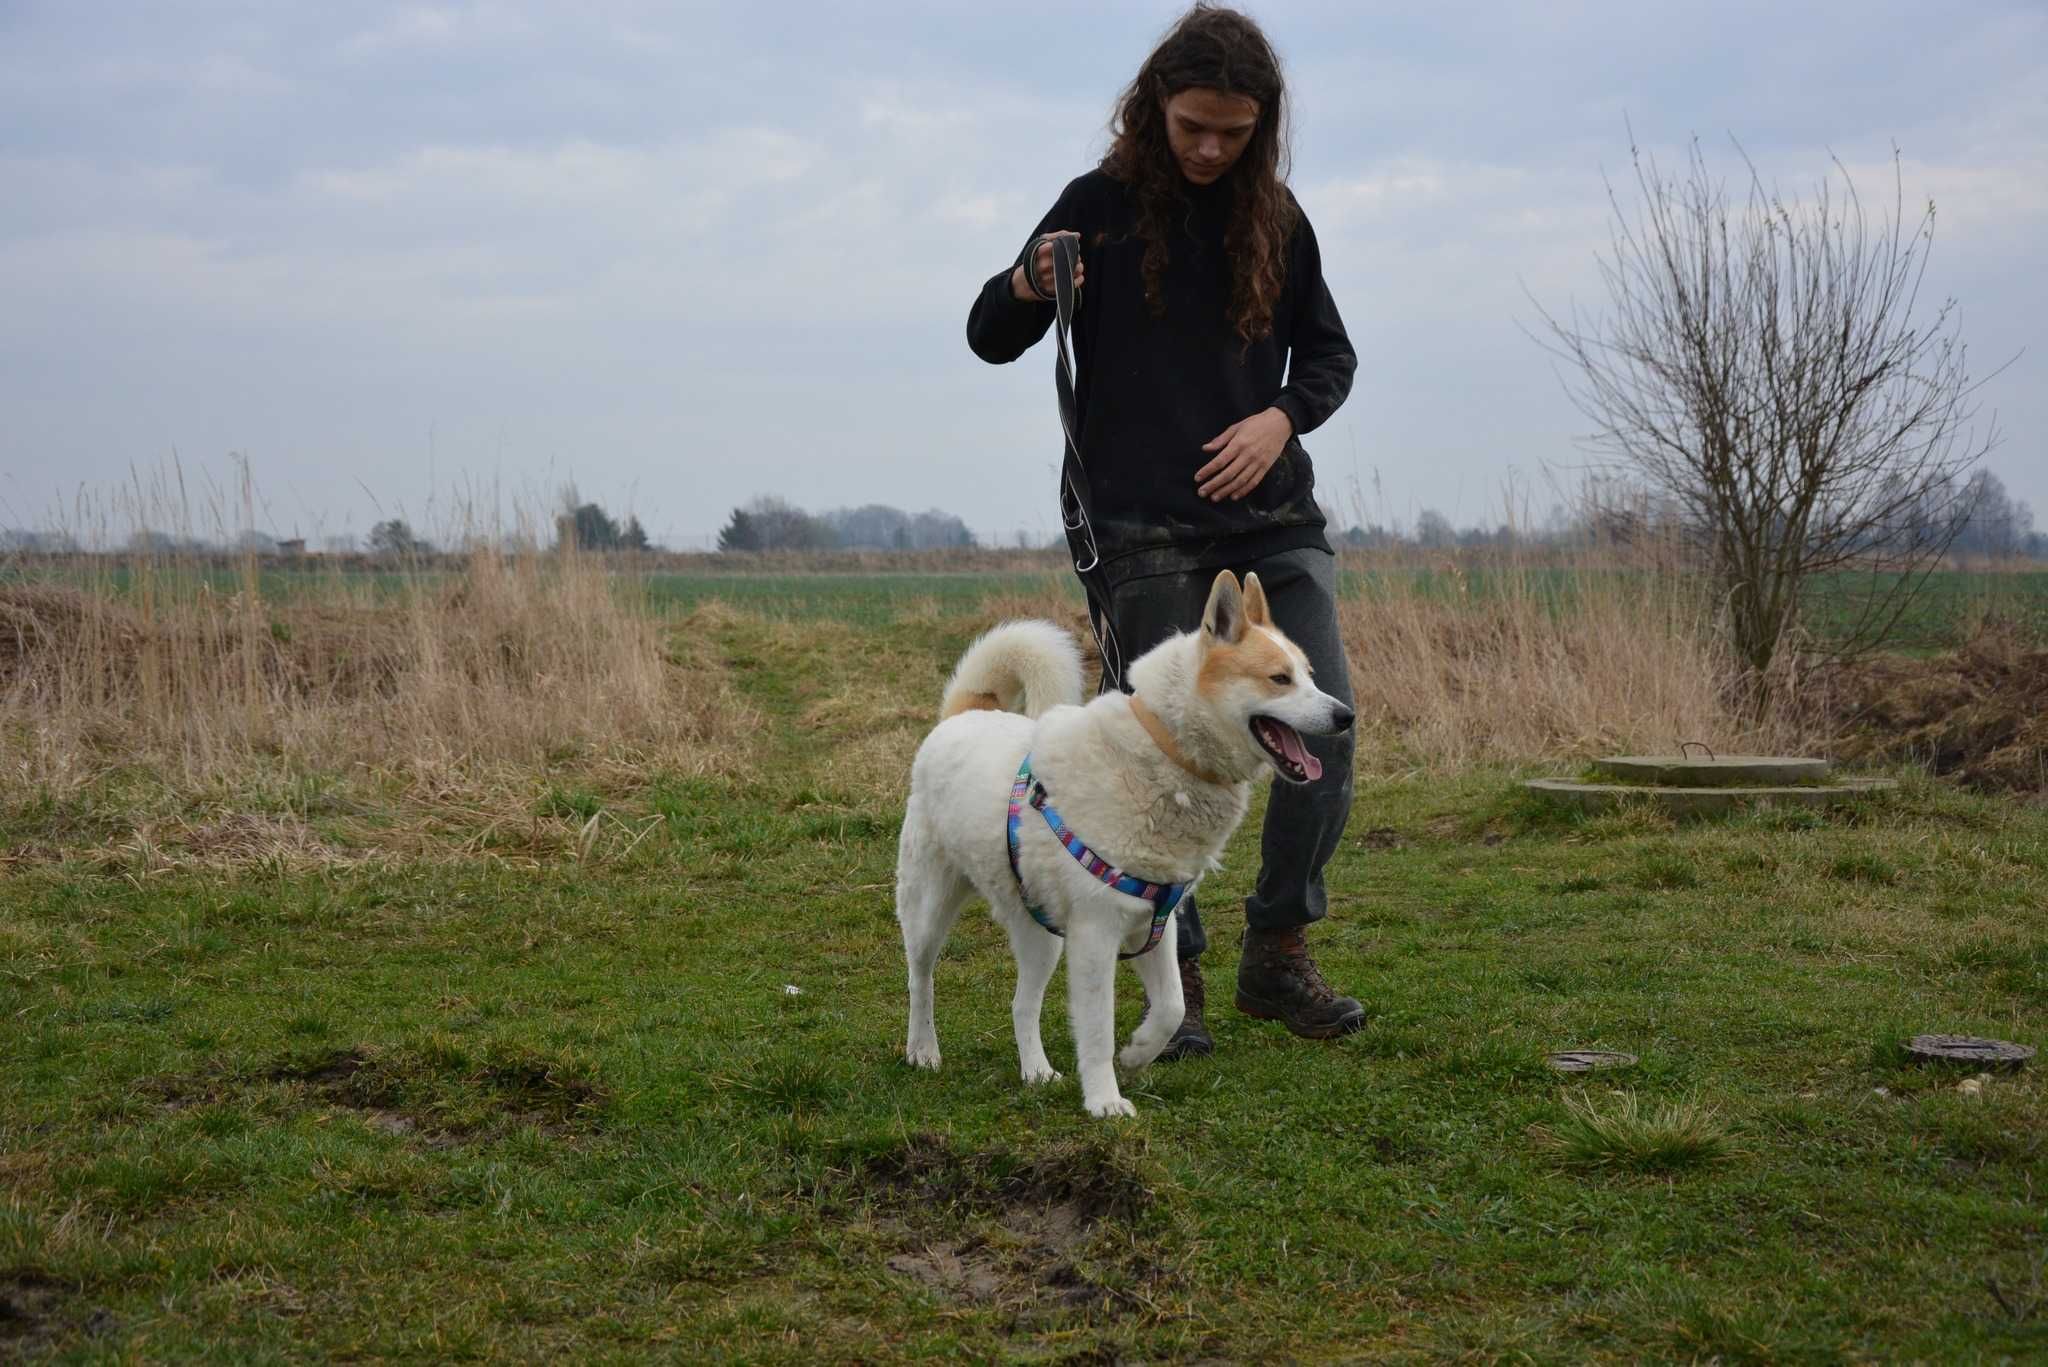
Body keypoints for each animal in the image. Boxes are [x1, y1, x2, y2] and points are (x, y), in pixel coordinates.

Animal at [892, 573, 1343, 1114]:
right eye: (1279, 679)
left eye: (1311, 675)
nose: (1346, 715)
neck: (1165, 754)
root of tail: (965, 714)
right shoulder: (1096, 934)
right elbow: (1097, 1029)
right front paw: (1105, 1101)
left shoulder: (1158, 922)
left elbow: (1171, 1005)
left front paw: (1138, 1053)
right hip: (928, 911)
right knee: (920, 980)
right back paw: (923, 1051)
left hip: (1040, 933)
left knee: (1022, 1004)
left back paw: (1037, 1071)